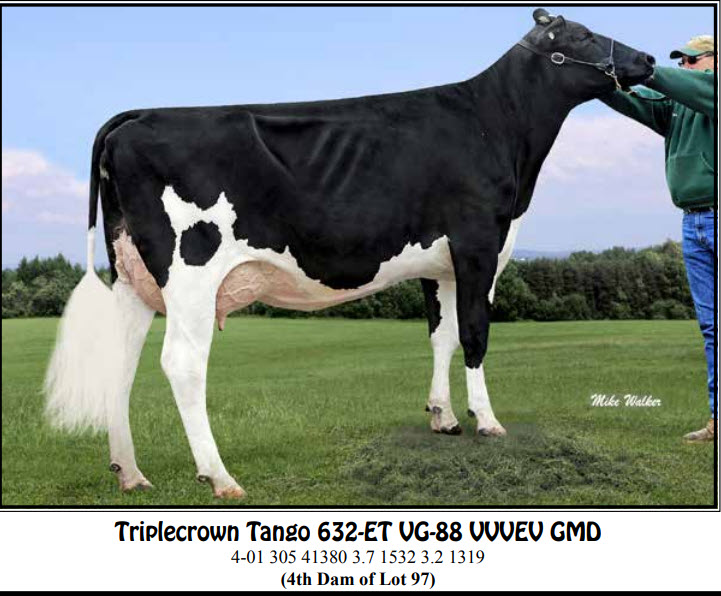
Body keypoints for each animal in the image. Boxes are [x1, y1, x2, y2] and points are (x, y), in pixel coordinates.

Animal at [44, 9, 655, 499]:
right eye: (582, 34)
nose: (648, 58)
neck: (494, 126)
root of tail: (136, 116)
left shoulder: (439, 265)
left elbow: (442, 336)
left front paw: (442, 418)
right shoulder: (479, 245)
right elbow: (476, 335)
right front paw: (487, 422)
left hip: (132, 274)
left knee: (121, 362)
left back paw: (130, 472)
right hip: (191, 271)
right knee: (182, 363)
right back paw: (219, 477)